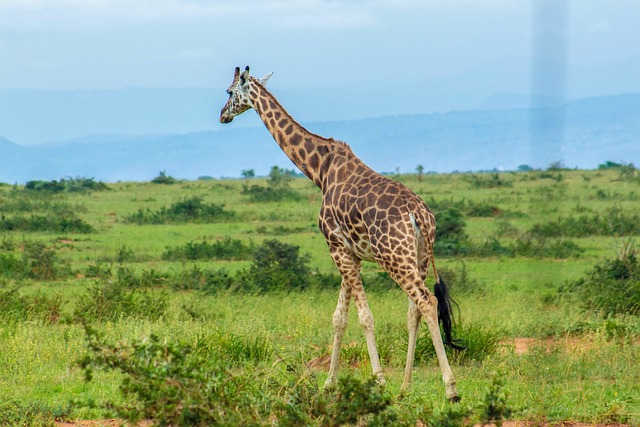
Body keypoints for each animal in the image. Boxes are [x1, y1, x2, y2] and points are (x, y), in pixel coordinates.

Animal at [219, 66, 460, 402]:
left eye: (229, 92)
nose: (222, 115)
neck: (319, 170)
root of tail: (420, 216)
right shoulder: (351, 253)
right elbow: (339, 318)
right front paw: (330, 383)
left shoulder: (336, 247)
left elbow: (364, 317)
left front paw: (378, 381)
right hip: (420, 257)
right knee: (414, 310)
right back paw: (406, 386)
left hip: (394, 257)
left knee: (427, 301)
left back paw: (450, 388)